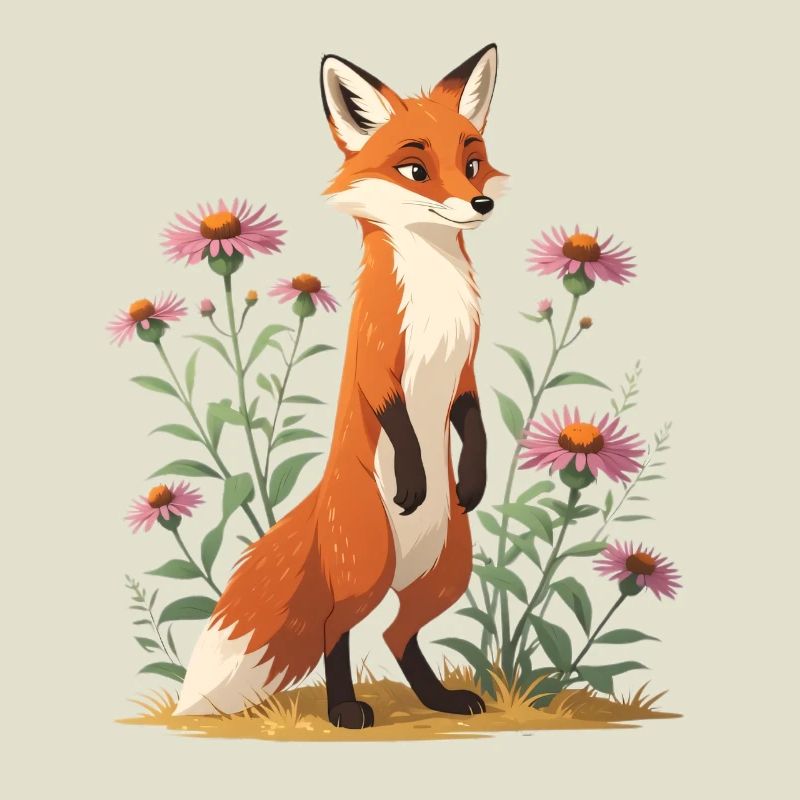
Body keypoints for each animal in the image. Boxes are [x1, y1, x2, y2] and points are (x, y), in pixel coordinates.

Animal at [175, 44, 507, 728]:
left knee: (396, 634)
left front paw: (473, 479)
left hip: (446, 575)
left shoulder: (465, 369)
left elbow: (473, 421)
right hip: (370, 566)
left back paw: (439, 699)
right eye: (415, 169)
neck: (435, 293)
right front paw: (414, 477)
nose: (480, 205)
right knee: (337, 629)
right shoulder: (378, 362)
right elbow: (398, 418)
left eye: (471, 164)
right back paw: (345, 708)